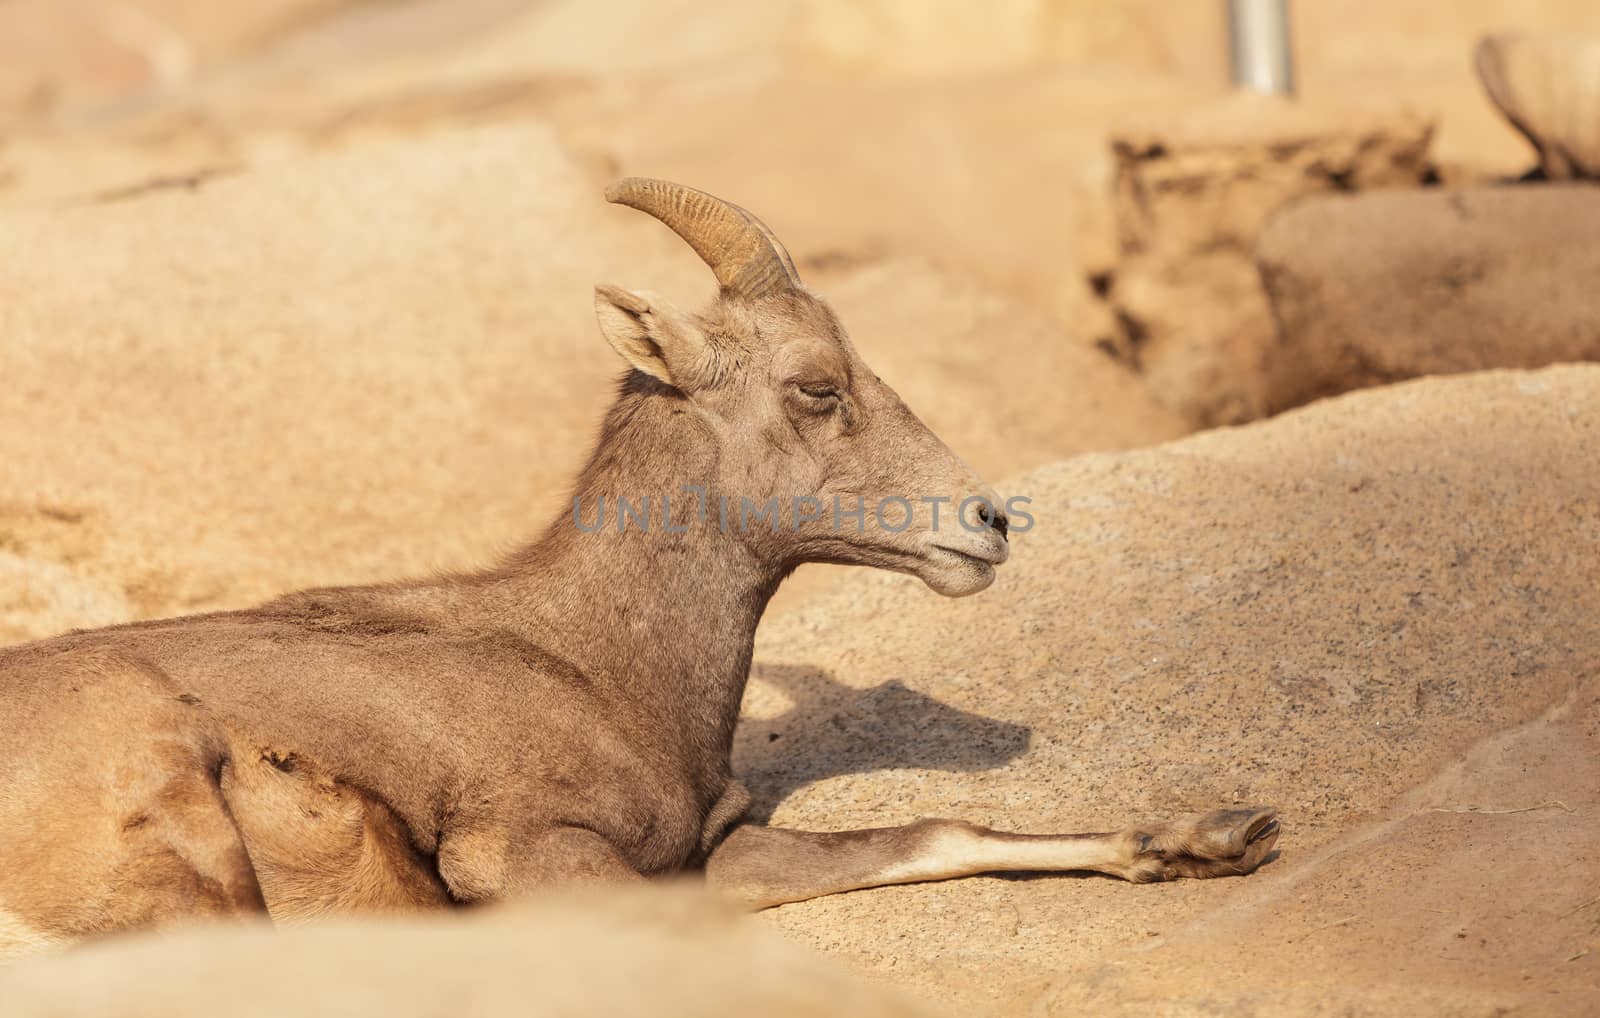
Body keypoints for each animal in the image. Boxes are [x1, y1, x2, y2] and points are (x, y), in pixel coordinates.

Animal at [0, 176, 1273, 953]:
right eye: (816, 385)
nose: (986, 523)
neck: (600, 663)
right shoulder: (543, 860)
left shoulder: (723, 849)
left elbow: (934, 833)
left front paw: (1209, 839)